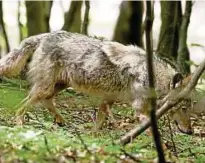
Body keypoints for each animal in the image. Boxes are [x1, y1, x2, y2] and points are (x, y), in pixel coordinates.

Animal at [0, 30, 192, 134]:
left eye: (188, 108)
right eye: (183, 108)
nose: (190, 131)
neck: (151, 76)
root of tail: (46, 35)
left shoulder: (107, 100)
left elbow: (98, 123)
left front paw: (93, 138)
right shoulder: (138, 109)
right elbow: (151, 127)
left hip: (57, 86)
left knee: (47, 101)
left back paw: (60, 120)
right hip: (45, 88)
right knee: (21, 106)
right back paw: (20, 125)